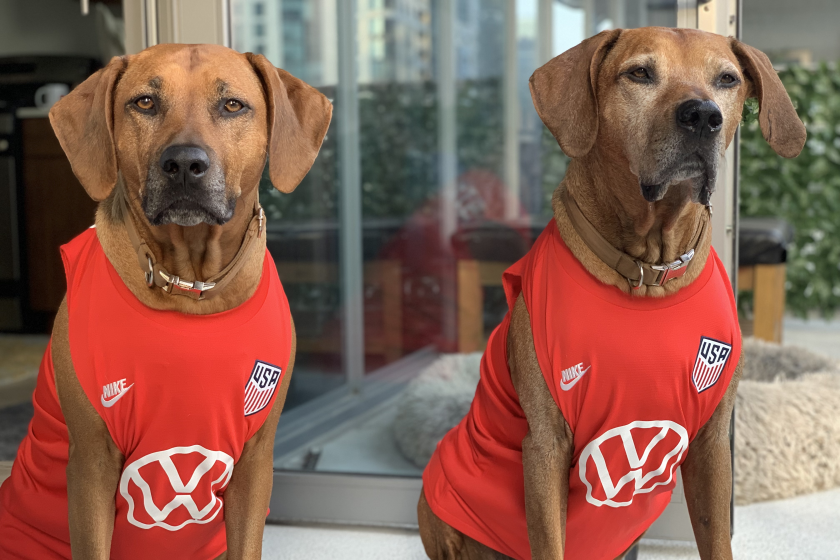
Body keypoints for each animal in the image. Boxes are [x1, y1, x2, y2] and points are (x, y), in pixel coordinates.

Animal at [0, 41, 334, 556]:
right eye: (145, 102)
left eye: (232, 105)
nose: (183, 165)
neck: (191, 284)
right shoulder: (92, 462)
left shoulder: (255, 460)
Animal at [416, 27, 804, 560]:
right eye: (639, 73)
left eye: (727, 79)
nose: (703, 115)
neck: (647, 269)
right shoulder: (545, 446)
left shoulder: (710, 442)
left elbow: (717, 539)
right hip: (435, 496)